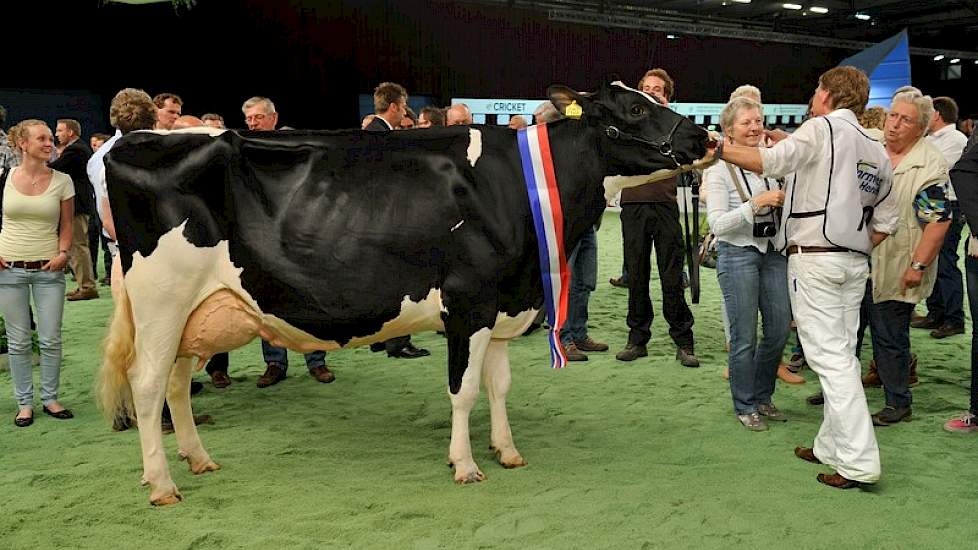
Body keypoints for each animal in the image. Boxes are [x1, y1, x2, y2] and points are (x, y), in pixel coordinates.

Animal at [97, 82, 708, 504]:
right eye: (635, 109)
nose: (703, 137)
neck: (517, 187)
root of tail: (136, 142)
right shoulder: (468, 305)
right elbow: (464, 391)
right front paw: (465, 465)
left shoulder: (504, 306)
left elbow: (500, 387)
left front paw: (508, 451)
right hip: (161, 300)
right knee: (147, 387)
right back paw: (162, 483)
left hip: (194, 314)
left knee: (176, 384)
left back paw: (198, 460)